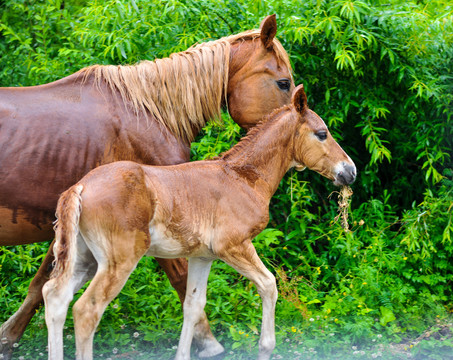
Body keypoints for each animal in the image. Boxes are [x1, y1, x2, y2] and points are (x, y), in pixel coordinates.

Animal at [0, 14, 294, 360]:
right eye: (283, 82)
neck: (149, 114)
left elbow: (40, 284)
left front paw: (7, 337)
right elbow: (181, 279)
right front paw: (208, 342)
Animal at [41, 85, 354, 360]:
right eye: (322, 133)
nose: (350, 171)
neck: (243, 178)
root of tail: (79, 187)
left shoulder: (202, 257)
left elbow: (193, 305)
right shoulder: (234, 247)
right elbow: (268, 284)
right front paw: (266, 347)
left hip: (85, 259)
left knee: (55, 298)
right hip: (118, 260)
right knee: (86, 311)